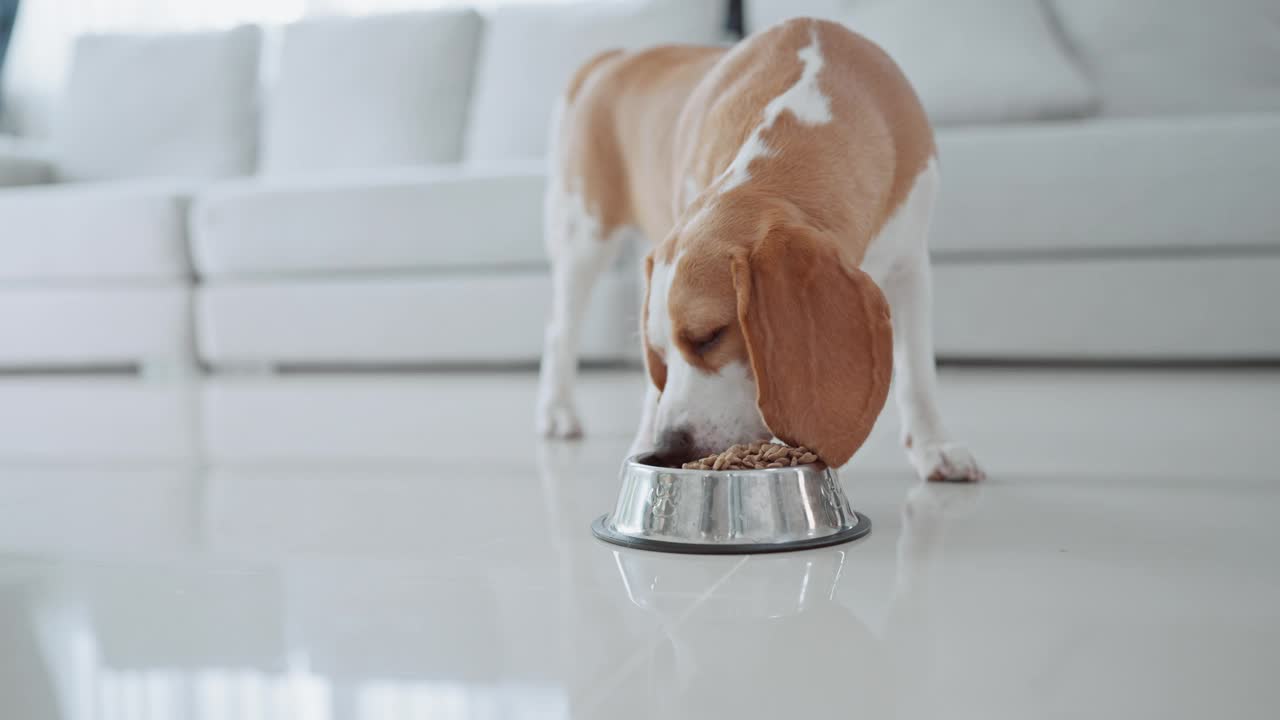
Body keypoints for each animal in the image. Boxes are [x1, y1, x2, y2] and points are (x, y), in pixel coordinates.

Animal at [535, 16, 983, 479]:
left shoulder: (911, 265)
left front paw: (934, 445)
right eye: (663, 351)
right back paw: (558, 411)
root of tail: (616, 58)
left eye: (709, 336)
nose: (668, 449)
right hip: (584, 236)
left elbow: (918, 373)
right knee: (559, 330)